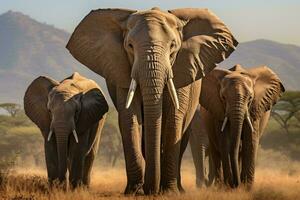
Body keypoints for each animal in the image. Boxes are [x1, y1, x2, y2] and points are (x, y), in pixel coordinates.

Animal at [65, 7, 237, 194]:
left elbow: (174, 118)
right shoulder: (123, 71)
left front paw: (169, 191)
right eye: (130, 46)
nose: (150, 190)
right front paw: (135, 191)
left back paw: (177, 188)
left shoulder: (183, 69)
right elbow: (129, 118)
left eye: (173, 46)